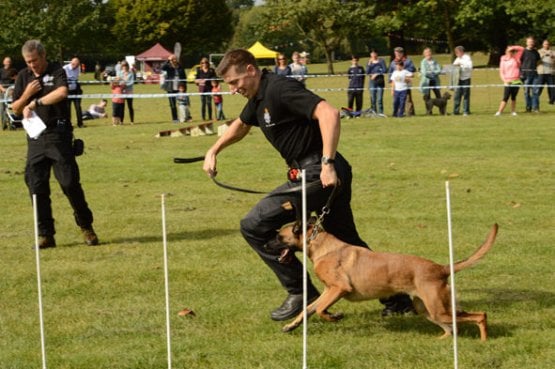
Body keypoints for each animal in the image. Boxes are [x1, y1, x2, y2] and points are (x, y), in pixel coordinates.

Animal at [270, 221, 500, 340]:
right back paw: (441, 340)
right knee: (453, 328)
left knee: (480, 316)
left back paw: (483, 341)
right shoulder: (329, 291)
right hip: (428, 309)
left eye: (279, 237)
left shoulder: (339, 289)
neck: (321, 245)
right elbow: (307, 310)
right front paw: (291, 326)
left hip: (438, 310)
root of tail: (440, 268)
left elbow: (319, 310)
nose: (264, 245)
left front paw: (334, 317)